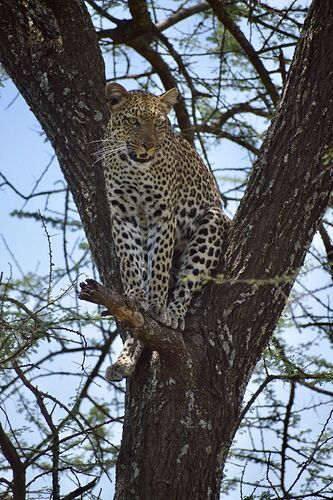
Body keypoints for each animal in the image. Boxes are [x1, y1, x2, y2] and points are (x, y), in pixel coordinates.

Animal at [101, 82, 230, 380]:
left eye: (160, 124)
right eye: (134, 122)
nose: (149, 145)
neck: (134, 168)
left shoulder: (163, 214)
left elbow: (158, 264)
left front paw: (158, 306)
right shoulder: (122, 214)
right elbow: (129, 261)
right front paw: (136, 296)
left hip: (213, 220)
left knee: (186, 281)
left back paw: (173, 312)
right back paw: (123, 361)